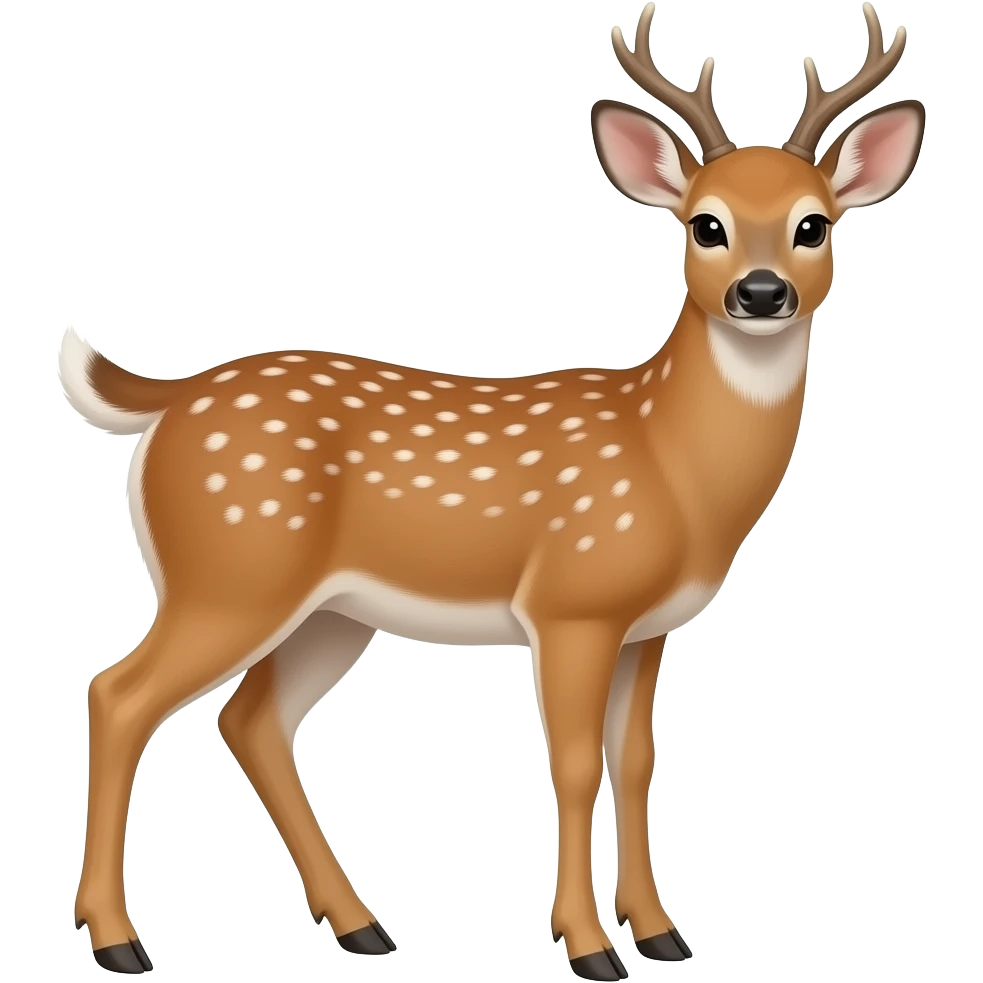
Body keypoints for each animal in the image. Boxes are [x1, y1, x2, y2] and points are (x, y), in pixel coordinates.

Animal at [64, 5, 924, 977]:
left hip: (328, 610)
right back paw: (120, 938)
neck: (672, 465)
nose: (762, 290)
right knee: (118, 694)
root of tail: (168, 400)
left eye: (813, 225)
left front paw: (661, 933)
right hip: (229, 570)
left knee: (249, 720)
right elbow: (575, 762)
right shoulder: (570, 603)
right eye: (705, 225)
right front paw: (589, 945)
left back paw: (361, 925)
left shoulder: (647, 625)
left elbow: (636, 760)